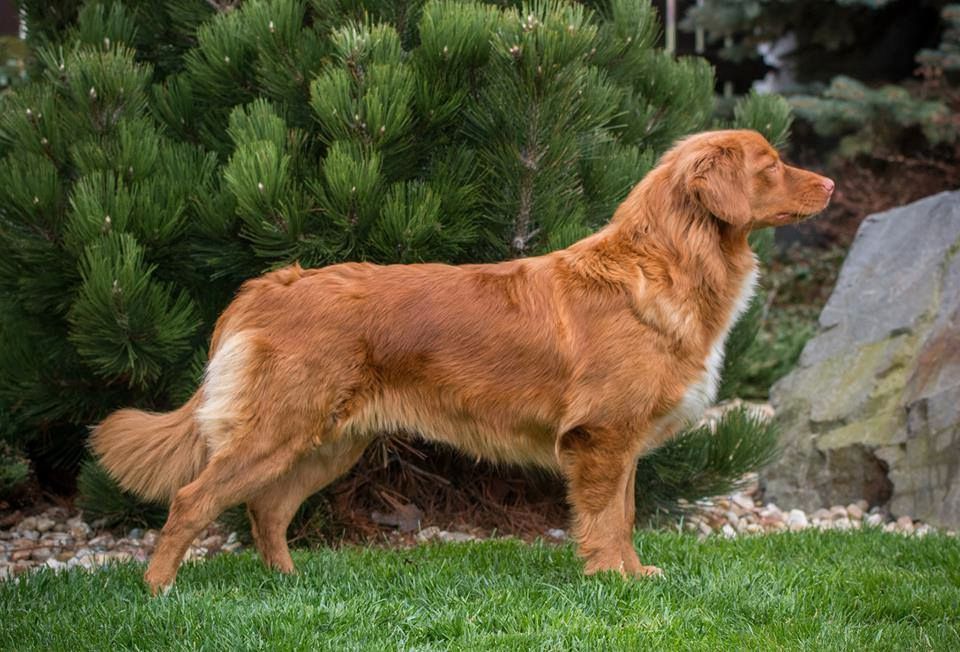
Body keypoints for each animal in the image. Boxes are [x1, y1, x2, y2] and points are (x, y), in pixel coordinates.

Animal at [94, 130, 836, 592]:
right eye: (771, 165)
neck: (667, 263)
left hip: (329, 442)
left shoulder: (619, 442)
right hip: (279, 429)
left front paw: (632, 575)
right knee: (194, 500)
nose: (831, 184)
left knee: (267, 510)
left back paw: (288, 582)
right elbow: (606, 518)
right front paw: (609, 580)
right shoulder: (601, 437)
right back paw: (158, 590)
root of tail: (269, 284)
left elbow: (624, 515)